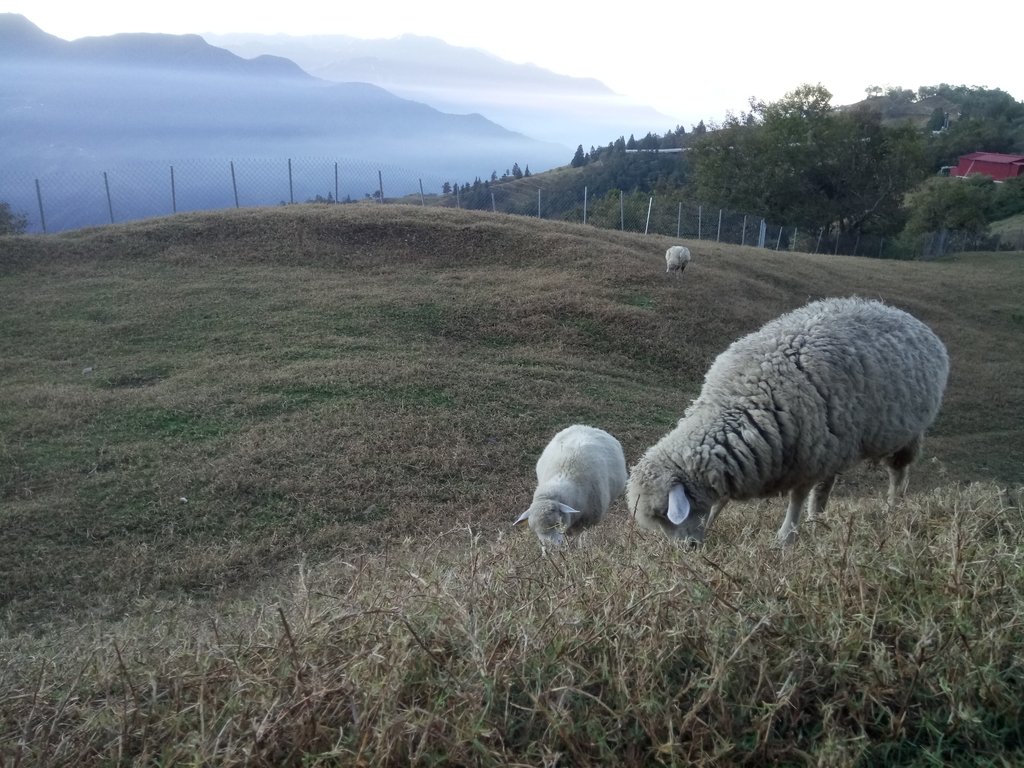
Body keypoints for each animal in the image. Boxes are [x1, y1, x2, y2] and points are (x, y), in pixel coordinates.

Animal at [622, 299, 950, 548]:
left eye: (666, 514)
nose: (688, 548)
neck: (739, 403)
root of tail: (909, 318)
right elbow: (720, 500)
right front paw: (714, 521)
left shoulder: (805, 458)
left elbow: (796, 498)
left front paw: (785, 538)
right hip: (836, 441)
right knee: (826, 486)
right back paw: (817, 519)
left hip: (906, 433)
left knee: (898, 472)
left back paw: (893, 507)